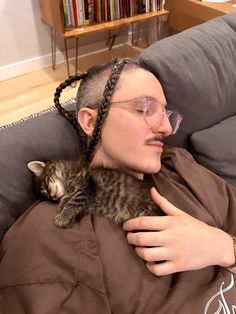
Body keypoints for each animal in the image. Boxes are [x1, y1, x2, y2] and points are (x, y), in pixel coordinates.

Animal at [26, 159, 161, 228]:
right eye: (47, 198)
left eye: (45, 188)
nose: (53, 198)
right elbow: (66, 199)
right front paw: (61, 206)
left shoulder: (86, 189)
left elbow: (72, 203)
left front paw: (62, 217)